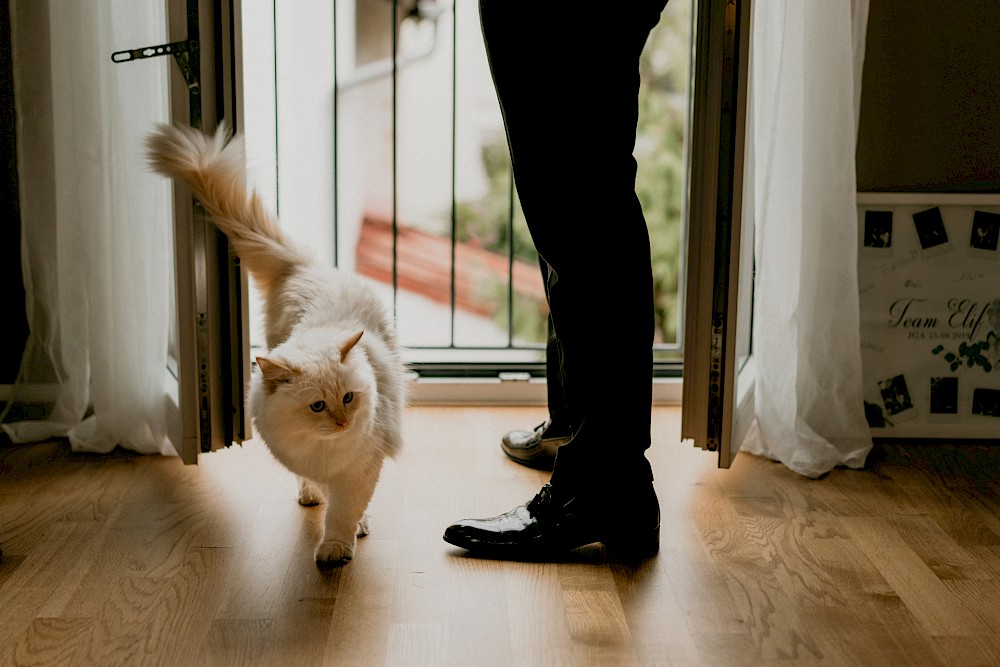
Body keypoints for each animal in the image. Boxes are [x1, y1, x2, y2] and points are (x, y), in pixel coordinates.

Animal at [146, 122, 404, 568]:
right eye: (317, 406)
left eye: (349, 398)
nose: (342, 423)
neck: (321, 448)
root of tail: (305, 266)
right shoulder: (313, 462)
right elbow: (322, 491)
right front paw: (326, 518)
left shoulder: (360, 470)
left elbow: (343, 513)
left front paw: (337, 547)